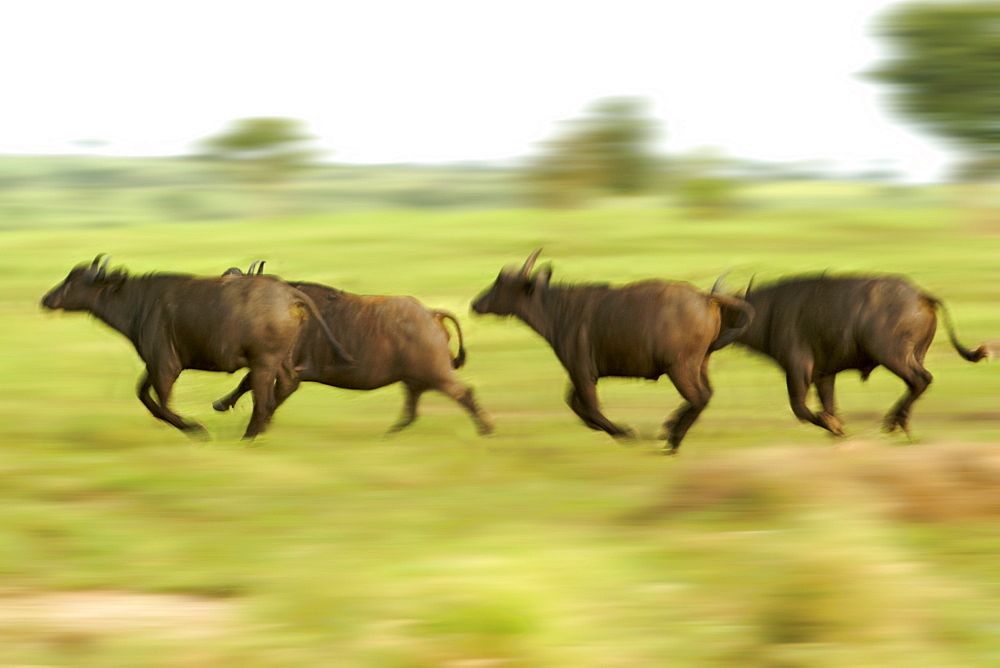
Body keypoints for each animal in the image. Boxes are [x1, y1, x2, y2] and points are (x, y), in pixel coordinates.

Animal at [41, 254, 354, 438]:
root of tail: (291, 295)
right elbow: (144, 396)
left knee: (264, 401)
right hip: (281, 360)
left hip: (264, 362)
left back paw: (248, 438)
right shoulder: (156, 363)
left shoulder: (165, 364)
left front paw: (194, 428)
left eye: (74, 280)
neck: (138, 301)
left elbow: (161, 403)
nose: (46, 299)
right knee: (288, 383)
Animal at [213, 264, 494, 436]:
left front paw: (226, 407)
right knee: (412, 411)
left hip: (436, 374)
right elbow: (256, 388)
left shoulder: (279, 366)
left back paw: (487, 431)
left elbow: (252, 384)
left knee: (464, 394)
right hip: (414, 380)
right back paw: (388, 437)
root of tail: (431, 314)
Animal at [468, 250, 752, 454]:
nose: (475, 304)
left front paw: (624, 433)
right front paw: (615, 430)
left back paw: (672, 441)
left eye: (501, 283)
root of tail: (705, 297)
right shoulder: (583, 374)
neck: (558, 310)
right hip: (701, 362)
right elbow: (576, 405)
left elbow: (588, 407)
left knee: (699, 397)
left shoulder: (581, 371)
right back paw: (669, 429)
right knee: (706, 395)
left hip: (680, 366)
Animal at [716, 272, 988, 436]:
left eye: (719, 311)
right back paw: (902, 424)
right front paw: (838, 429)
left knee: (921, 379)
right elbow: (828, 405)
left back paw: (893, 423)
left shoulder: (797, 367)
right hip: (915, 354)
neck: (769, 312)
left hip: (893, 355)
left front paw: (834, 427)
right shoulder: (824, 375)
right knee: (916, 385)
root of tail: (922, 296)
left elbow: (800, 408)